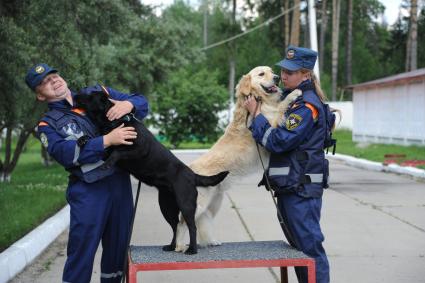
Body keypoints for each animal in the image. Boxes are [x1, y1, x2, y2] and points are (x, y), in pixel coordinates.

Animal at [74, 89, 229, 255]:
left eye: (90, 96)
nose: (75, 95)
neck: (115, 121)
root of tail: (191, 175)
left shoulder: (138, 150)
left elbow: (117, 152)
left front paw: (107, 164)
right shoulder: (107, 148)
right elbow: (101, 143)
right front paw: (83, 139)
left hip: (186, 204)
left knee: (191, 226)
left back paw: (192, 249)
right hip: (166, 205)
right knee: (175, 226)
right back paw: (171, 246)